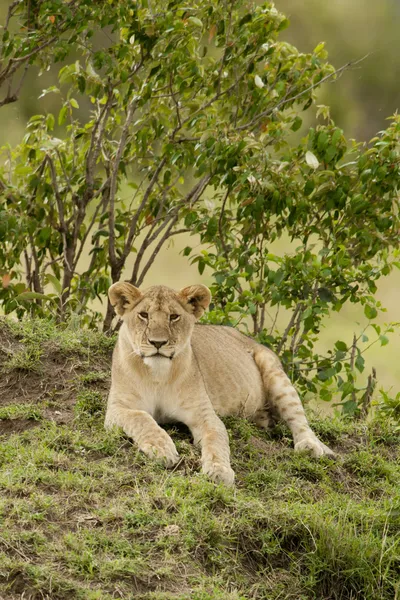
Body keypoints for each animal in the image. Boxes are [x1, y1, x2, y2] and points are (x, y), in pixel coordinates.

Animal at [105, 284, 334, 486]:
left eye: (174, 316)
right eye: (143, 315)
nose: (158, 343)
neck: (158, 376)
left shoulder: (204, 415)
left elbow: (216, 441)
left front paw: (219, 471)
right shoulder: (117, 409)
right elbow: (141, 418)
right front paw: (161, 448)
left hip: (275, 372)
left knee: (299, 419)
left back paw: (310, 446)